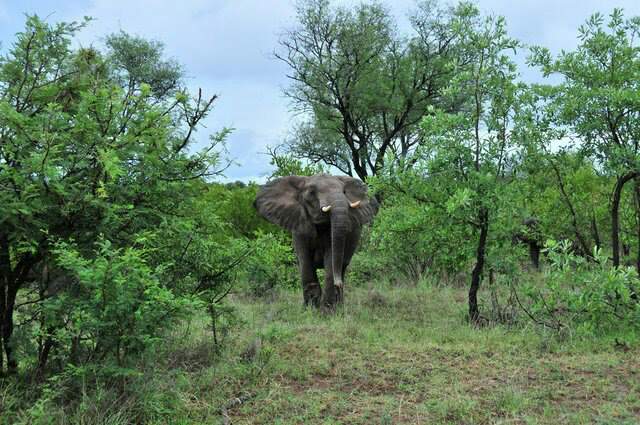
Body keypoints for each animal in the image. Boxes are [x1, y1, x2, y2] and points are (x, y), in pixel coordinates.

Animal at [254, 174, 378, 308]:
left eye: (344, 192)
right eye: (311, 193)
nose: (338, 284)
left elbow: (331, 260)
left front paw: (327, 311)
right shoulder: (299, 228)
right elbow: (305, 262)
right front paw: (310, 309)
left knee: (343, 267)